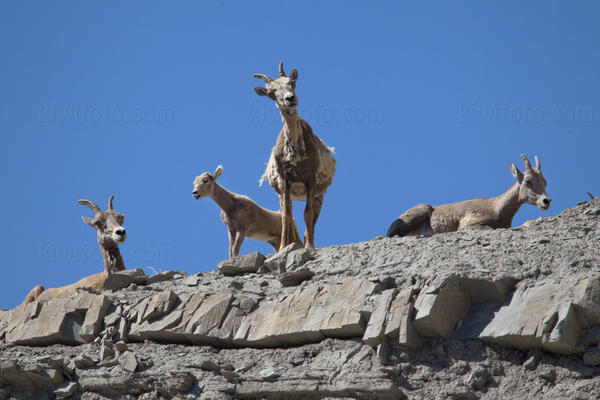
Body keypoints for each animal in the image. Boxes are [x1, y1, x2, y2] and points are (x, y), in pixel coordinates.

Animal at [253, 61, 338, 250]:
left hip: (319, 196)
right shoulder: (285, 183)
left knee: (311, 221)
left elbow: (307, 214)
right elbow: (286, 216)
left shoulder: (311, 180)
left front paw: (309, 247)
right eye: (271, 93)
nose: (290, 99)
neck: (296, 156)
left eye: (292, 83)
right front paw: (283, 247)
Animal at [386, 155, 552, 238]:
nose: (546, 201)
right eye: (528, 181)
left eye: (545, 182)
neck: (497, 208)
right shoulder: (469, 224)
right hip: (420, 212)